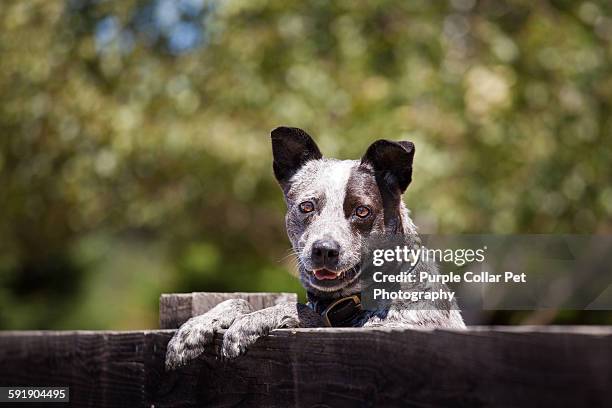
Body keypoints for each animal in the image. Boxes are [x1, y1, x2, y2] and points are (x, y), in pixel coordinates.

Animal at [164, 126, 464, 368]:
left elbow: (301, 310)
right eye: (306, 206)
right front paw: (196, 326)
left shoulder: (389, 329)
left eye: (362, 211)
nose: (324, 250)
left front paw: (252, 321)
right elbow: (239, 299)